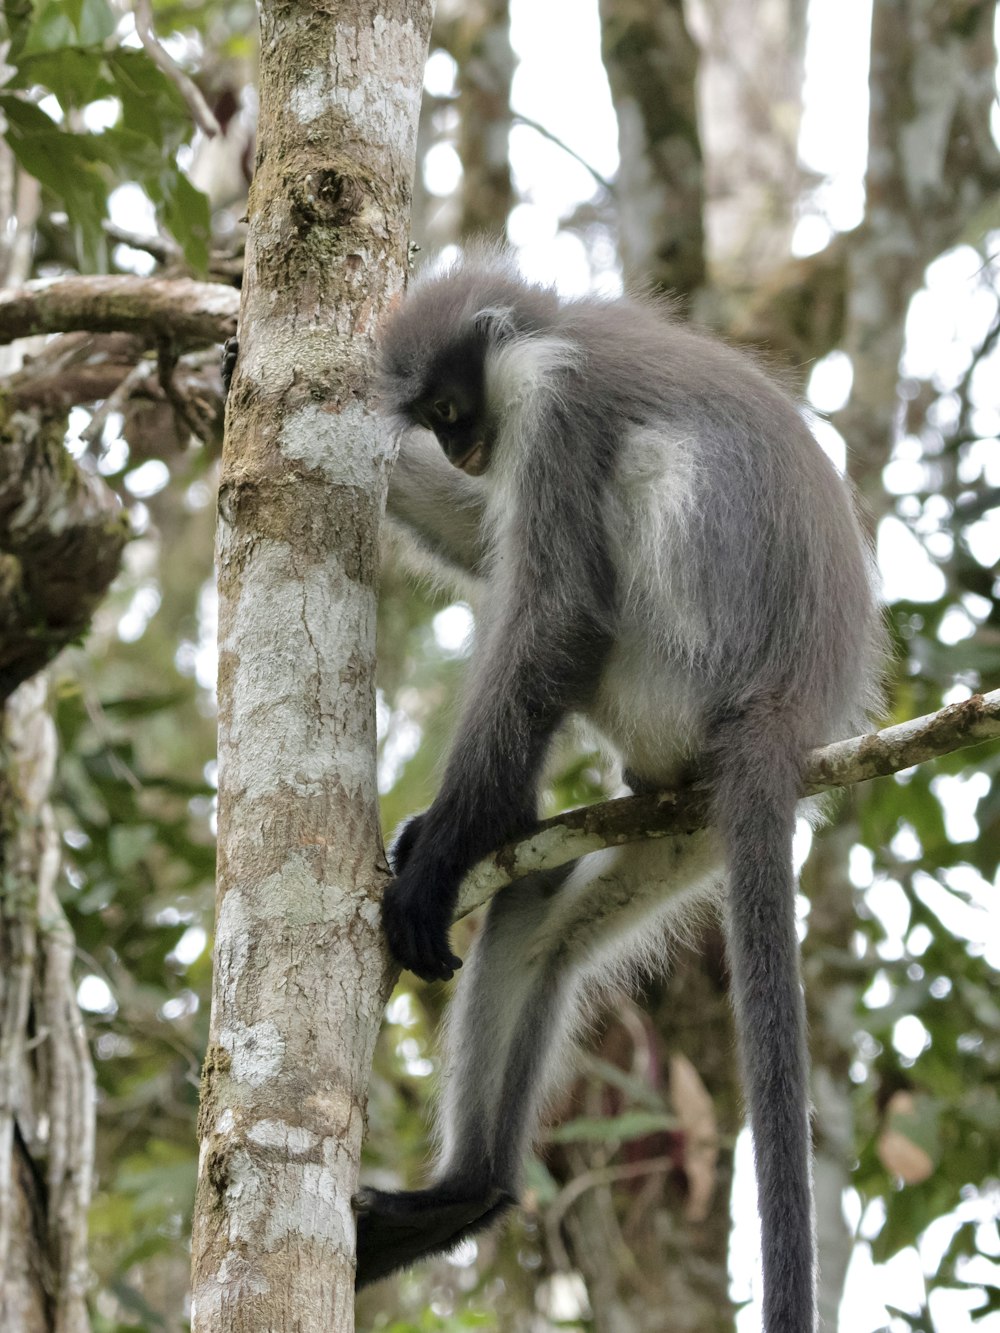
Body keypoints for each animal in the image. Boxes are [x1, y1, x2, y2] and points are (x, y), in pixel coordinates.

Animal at [354, 251, 885, 1333]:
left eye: (448, 406)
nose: (461, 445)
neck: (552, 330)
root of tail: (786, 720)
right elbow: (478, 531)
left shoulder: (557, 409)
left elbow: (557, 614)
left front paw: (436, 866)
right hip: (688, 835)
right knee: (542, 924)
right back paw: (473, 1192)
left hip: (665, 681)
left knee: (573, 589)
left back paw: (485, 823)